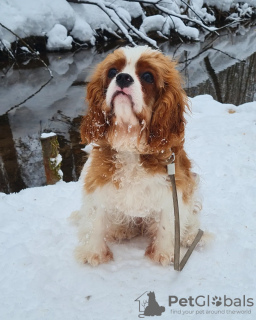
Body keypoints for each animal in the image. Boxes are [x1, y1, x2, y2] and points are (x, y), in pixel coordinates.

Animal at [71, 44, 202, 264]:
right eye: (112, 72)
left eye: (148, 76)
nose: (123, 78)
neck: (129, 139)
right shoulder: (98, 183)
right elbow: (95, 220)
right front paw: (93, 253)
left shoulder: (173, 187)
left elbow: (168, 222)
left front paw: (163, 253)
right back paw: (121, 229)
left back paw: (191, 234)